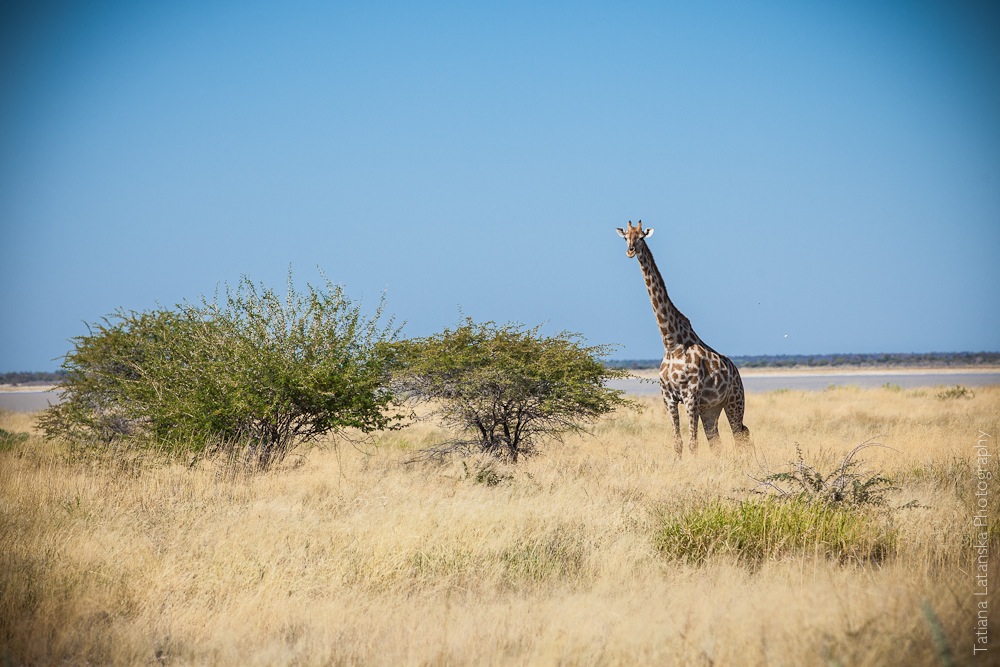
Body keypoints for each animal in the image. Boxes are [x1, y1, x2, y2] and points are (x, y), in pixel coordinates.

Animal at [616, 222, 752, 456]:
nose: (630, 251)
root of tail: (736, 371)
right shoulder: (669, 398)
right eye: (626, 237)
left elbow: (692, 443)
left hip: (734, 400)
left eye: (641, 237)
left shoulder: (691, 396)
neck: (671, 343)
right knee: (716, 443)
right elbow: (678, 443)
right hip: (711, 409)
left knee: (740, 436)